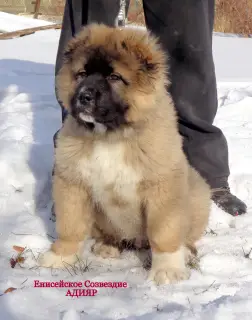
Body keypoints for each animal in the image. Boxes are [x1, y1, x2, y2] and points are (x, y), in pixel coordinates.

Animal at [38, 24, 211, 284]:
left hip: (198, 194)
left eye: (114, 77)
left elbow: (165, 232)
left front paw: (167, 269)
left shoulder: (163, 187)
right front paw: (61, 257)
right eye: (82, 74)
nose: (84, 96)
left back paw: (186, 253)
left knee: (185, 235)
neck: (110, 137)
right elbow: (70, 226)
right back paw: (108, 246)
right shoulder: (72, 183)